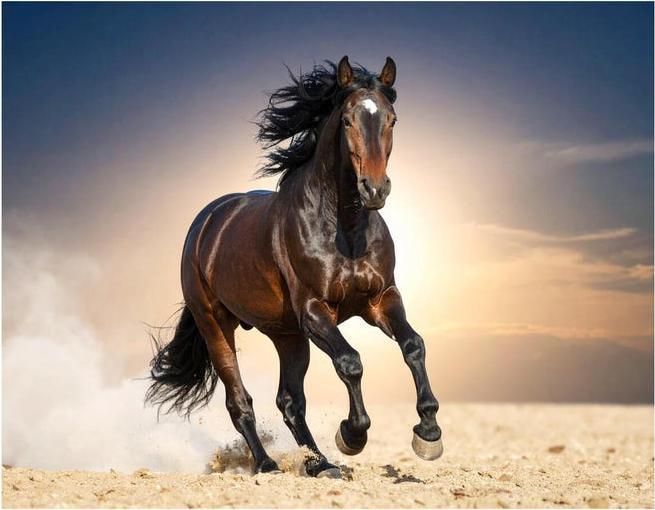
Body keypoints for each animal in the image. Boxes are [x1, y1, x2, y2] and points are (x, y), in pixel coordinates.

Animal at [145, 56, 443, 478]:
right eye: (347, 120)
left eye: (392, 119)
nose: (374, 189)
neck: (345, 229)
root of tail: (205, 223)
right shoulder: (315, 311)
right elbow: (350, 362)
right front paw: (352, 435)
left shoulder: (381, 299)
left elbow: (413, 345)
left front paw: (428, 433)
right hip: (215, 324)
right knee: (240, 401)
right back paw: (268, 464)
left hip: (287, 336)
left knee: (289, 401)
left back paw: (320, 464)